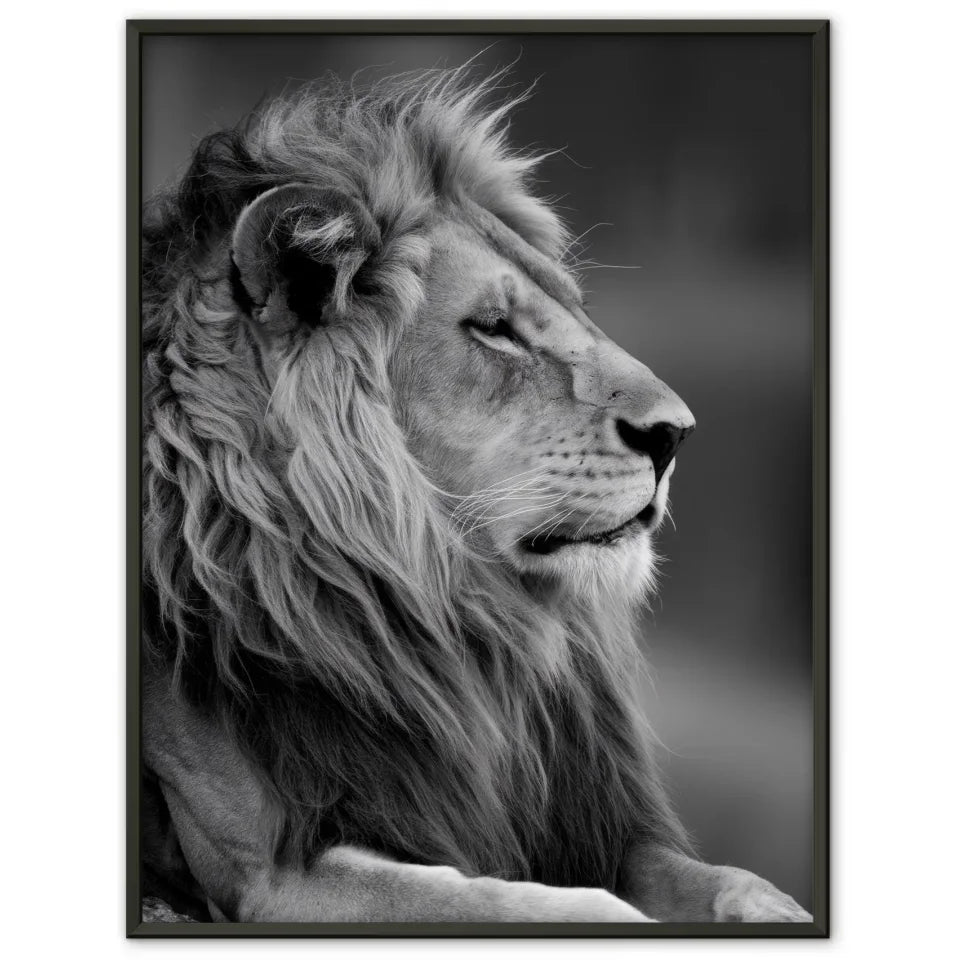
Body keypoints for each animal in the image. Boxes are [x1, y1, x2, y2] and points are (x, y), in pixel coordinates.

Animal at [140, 67, 811, 925]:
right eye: (494, 328)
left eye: (573, 308)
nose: (676, 434)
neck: (451, 617)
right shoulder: (270, 872)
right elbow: (532, 906)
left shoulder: (583, 824)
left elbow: (731, 880)